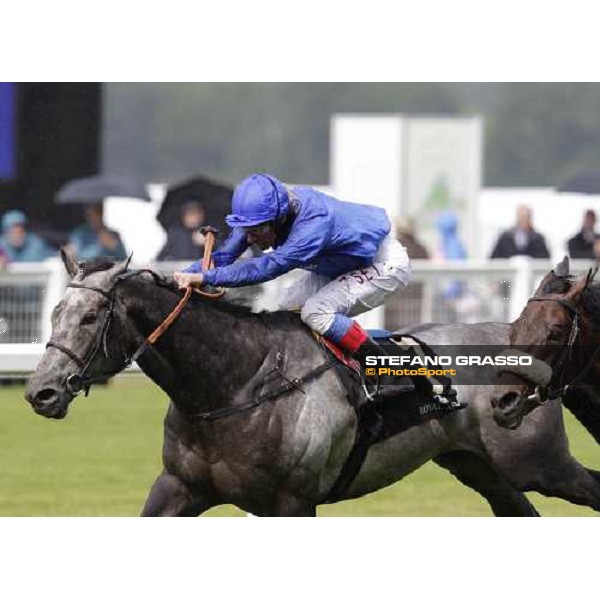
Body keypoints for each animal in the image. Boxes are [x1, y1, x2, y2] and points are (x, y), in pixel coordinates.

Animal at [24, 253, 600, 516]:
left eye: (91, 316)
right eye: (54, 313)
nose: (40, 392)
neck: (234, 386)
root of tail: (513, 337)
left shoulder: (293, 502)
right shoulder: (178, 488)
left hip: (538, 463)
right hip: (481, 467)